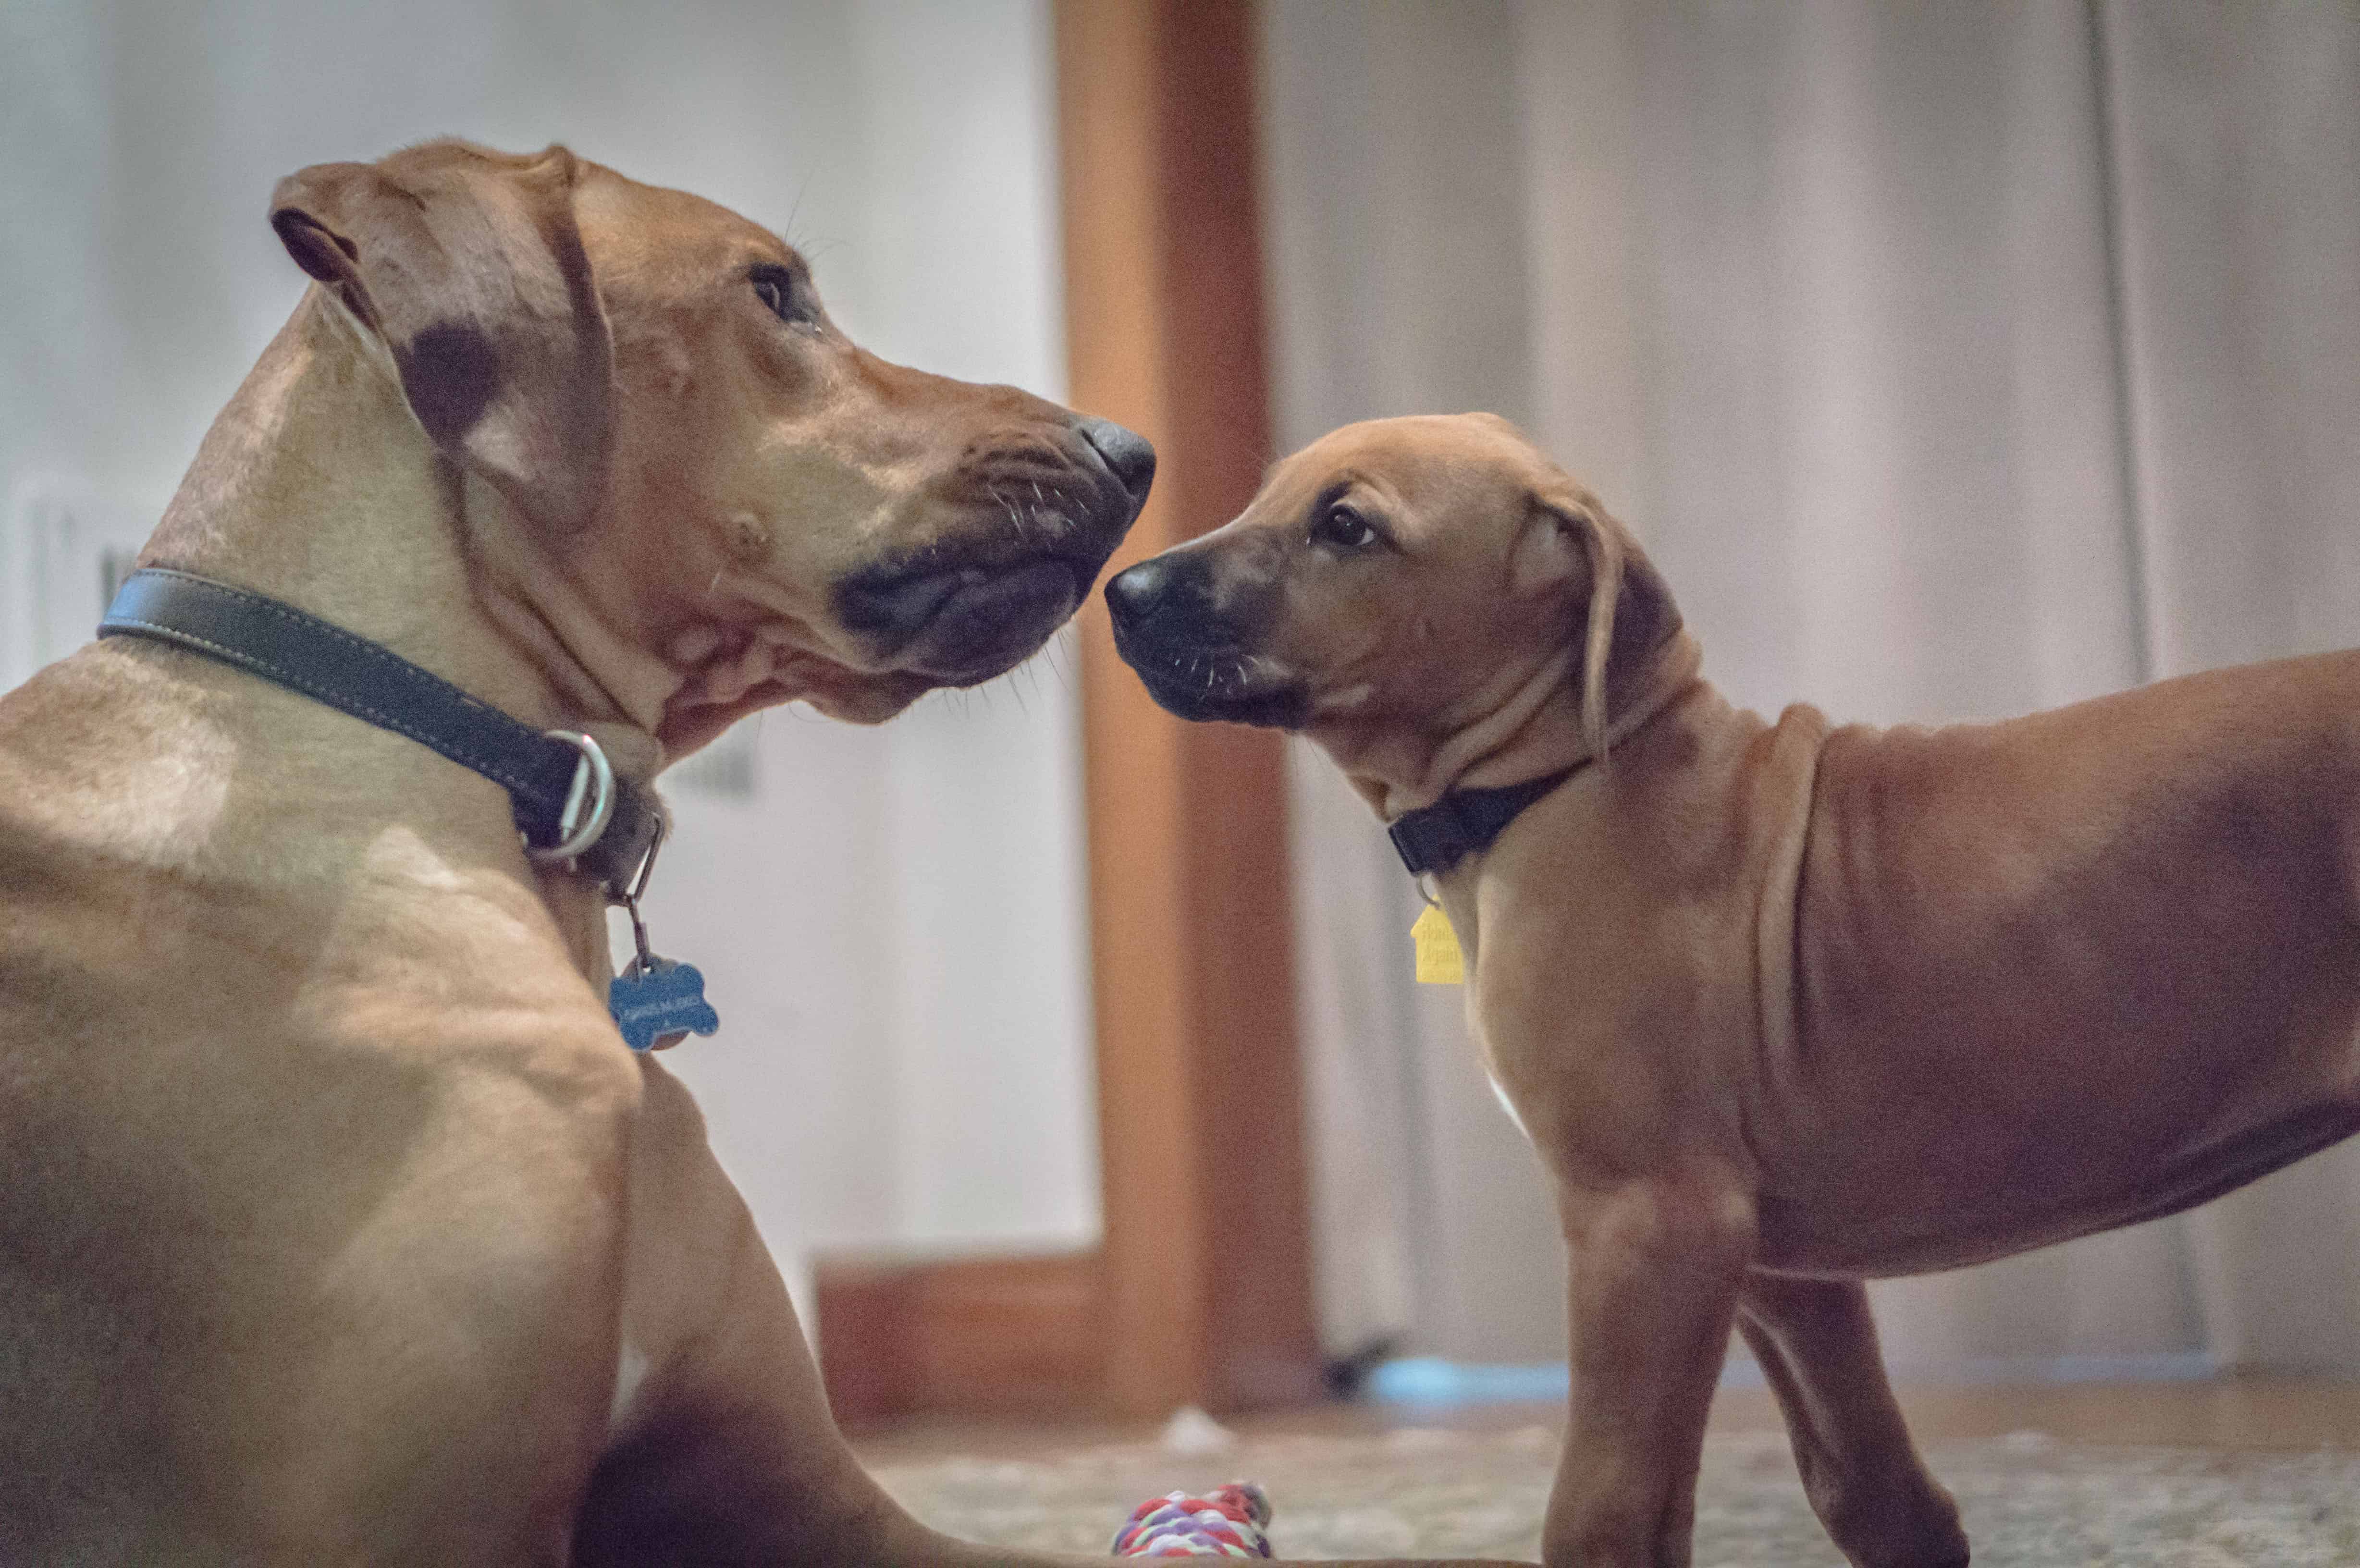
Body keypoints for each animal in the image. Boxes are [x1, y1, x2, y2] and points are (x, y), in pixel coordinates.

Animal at [1099, 413, 2360, 1568]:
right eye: (1269, 493)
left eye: (1345, 526)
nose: (1120, 590)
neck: (1555, 779)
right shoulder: (1776, 1265)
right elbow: (1865, 1485)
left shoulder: (1648, 1223)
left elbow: (1601, 1509)